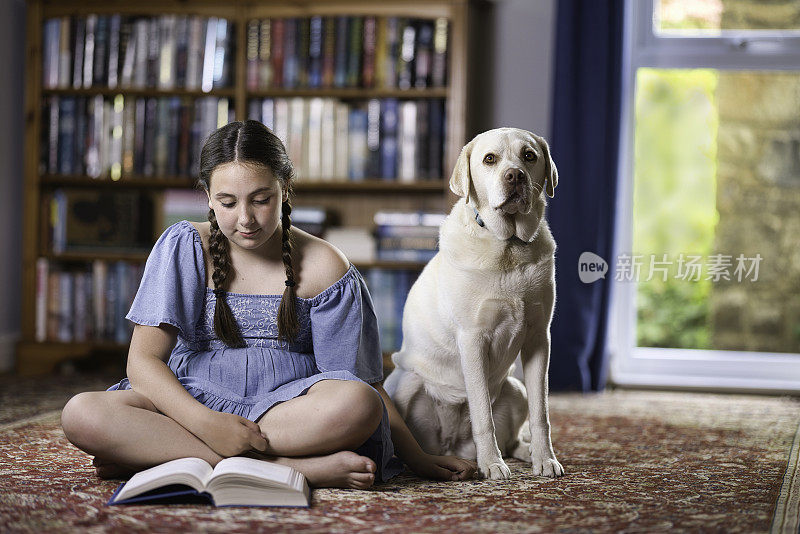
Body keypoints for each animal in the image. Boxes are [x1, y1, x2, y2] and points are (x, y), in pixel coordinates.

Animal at [382, 129, 564, 482]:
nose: (515, 176)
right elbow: (482, 414)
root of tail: (452, 447)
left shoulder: (539, 338)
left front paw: (545, 459)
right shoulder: (473, 338)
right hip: (404, 382)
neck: (509, 248)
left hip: (515, 388)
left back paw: (526, 453)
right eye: (489, 159)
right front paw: (492, 464)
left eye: (529, 156)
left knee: (514, 438)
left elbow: (542, 413)